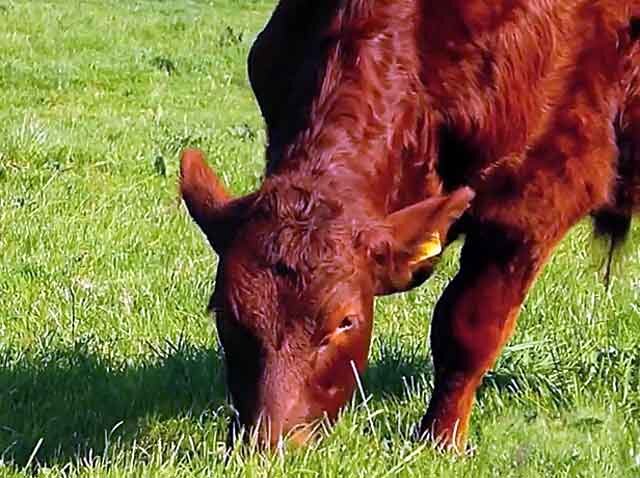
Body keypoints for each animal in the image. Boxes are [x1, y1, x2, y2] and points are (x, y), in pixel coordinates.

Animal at [179, 0, 640, 450]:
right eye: (223, 311)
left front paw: (440, 439)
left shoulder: (538, 195)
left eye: (346, 321)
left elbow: (467, 326)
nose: (266, 443)